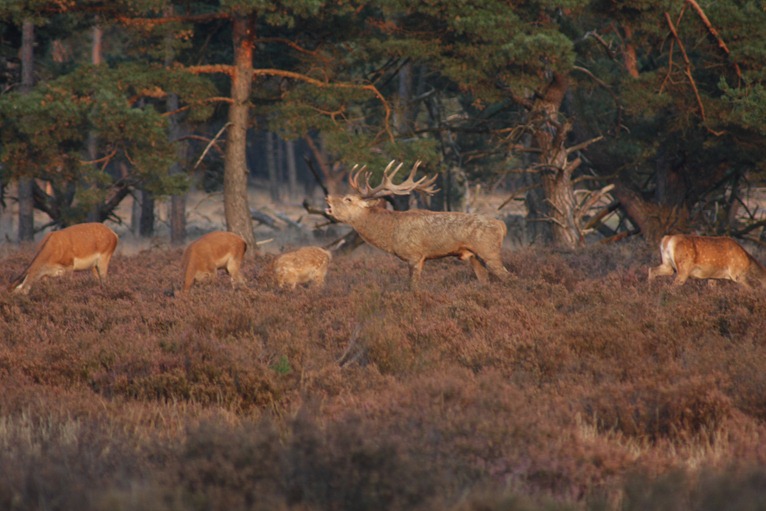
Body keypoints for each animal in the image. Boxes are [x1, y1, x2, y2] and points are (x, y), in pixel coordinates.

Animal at [325, 160, 509, 288]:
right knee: (485, 280)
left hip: (489, 250)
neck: (391, 234)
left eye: (348, 199)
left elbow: (412, 288)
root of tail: (501, 225)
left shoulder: (415, 255)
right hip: (474, 257)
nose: (328, 198)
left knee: (508, 276)